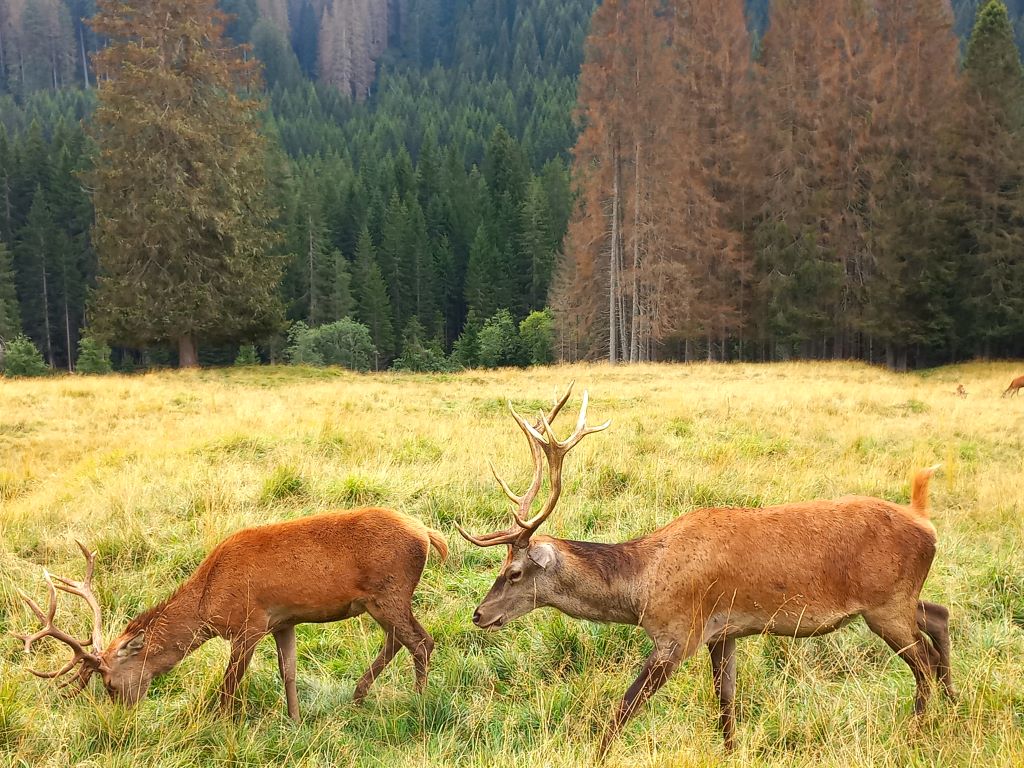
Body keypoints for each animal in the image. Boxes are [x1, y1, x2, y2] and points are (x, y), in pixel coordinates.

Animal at [14, 512, 448, 720]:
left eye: (109, 684)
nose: (120, 719)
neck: (209, 604)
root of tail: (428, 534)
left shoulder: (249, 623)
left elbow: (229, 685)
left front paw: (221, 723)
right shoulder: (283, 621)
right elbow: (288, 673)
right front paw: (294, 720)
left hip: (389, 592)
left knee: (421, 642)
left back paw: (419, 703)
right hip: (383, 600)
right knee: (400, 640)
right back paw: (359, 696)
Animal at [460, 385, 954, 757]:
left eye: (515, 572)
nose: (479, 614)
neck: (642, 589)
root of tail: (925, 522)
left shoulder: (680, 632)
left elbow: (625, 708)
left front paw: (595, 754)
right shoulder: (724, 631)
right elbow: (726, 704)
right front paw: (731, 752)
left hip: (885, 603)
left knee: (924, 662)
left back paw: (916, 732)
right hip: (899, 598)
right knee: (939, 616)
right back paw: (952, 707)